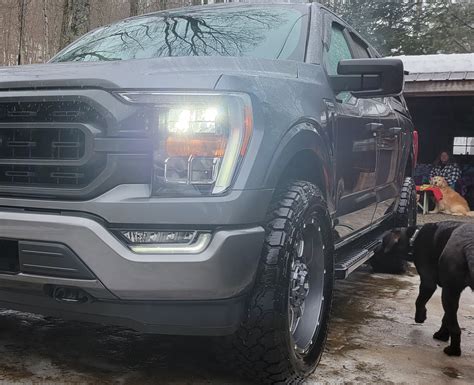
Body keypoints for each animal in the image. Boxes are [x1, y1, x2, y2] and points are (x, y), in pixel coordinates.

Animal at [376, 220, 472, 356]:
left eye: (382, 241)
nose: (374, 250)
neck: (414, 238)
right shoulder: (454, 291)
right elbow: (446, 317)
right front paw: (442, 335)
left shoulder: (429, 283)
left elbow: (419, 301)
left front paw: (420, 317)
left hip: (447, 293)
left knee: (456, 329)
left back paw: (453, 351)